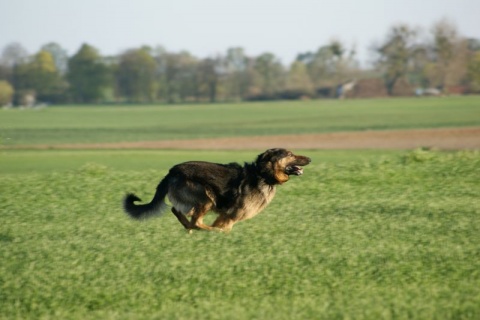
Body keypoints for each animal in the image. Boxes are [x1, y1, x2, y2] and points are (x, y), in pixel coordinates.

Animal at [124, 149, 312, 231]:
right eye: (290, 154)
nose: (310, 158)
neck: (262, 174)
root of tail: (172, 172)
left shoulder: (225, 215)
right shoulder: (231, 215)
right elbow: (225, 227)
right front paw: (221, 234)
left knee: (178, 212)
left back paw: (190, 228)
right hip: (206, 198)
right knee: (196, 221)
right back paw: (208, 231)